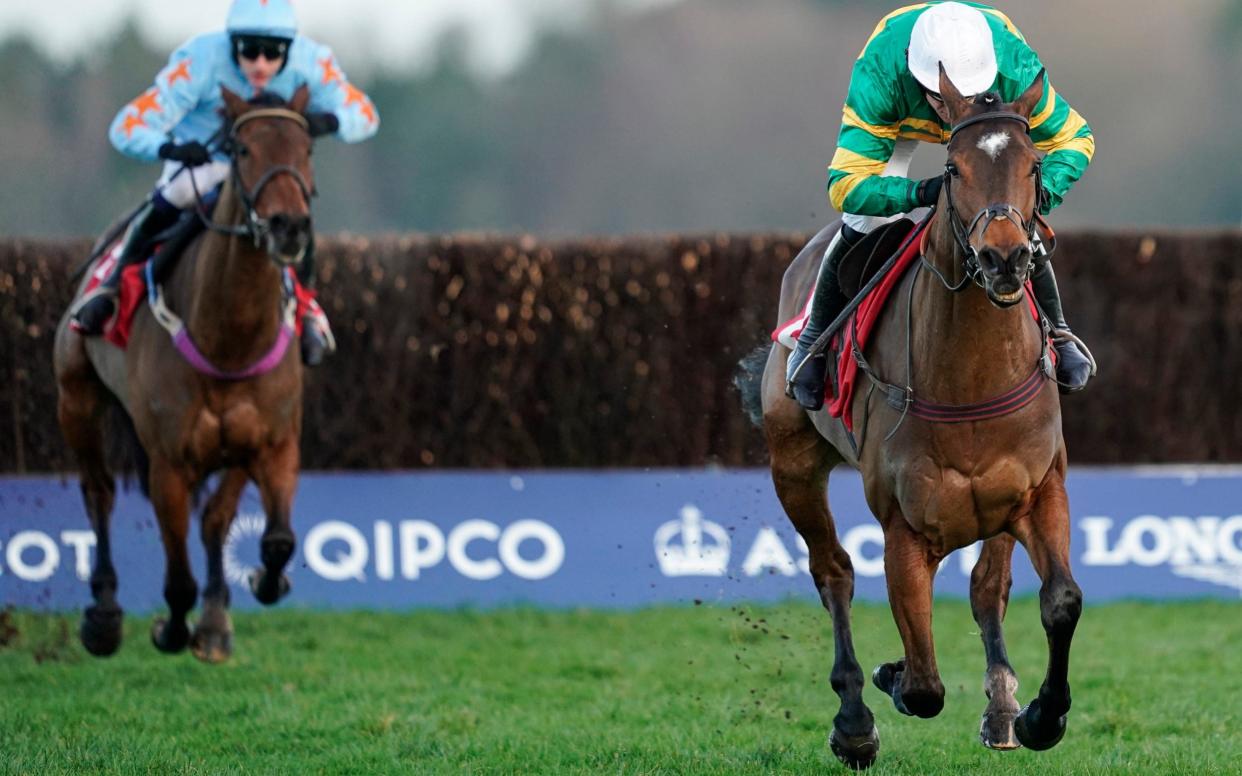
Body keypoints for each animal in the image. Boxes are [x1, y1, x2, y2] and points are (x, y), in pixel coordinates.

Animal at [52, 87, 315, 660]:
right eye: (241, 149)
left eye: (307, 148)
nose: (288, 225)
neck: (229, 340)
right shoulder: (168, 462)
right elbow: (177, 579)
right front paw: (169, 628)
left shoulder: (270, 442)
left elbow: (272, 538)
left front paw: (256, 587)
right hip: (77, 399)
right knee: (98, 492)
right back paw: (103, 616)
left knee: (212, 519)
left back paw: (214, 618)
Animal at [740, 67, 1083, 769]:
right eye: (951, 168)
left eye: (1034, 164)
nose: (1006, 257)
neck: (970, 378)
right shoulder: (904, 528)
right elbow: (923, 683)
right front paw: (890, 678)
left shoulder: (1037, 491)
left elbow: (1059, 602)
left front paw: (1039, 715)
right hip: (793, 464)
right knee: (834, 573)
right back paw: (853, 720)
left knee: (986, 588)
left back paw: (1001, 708)